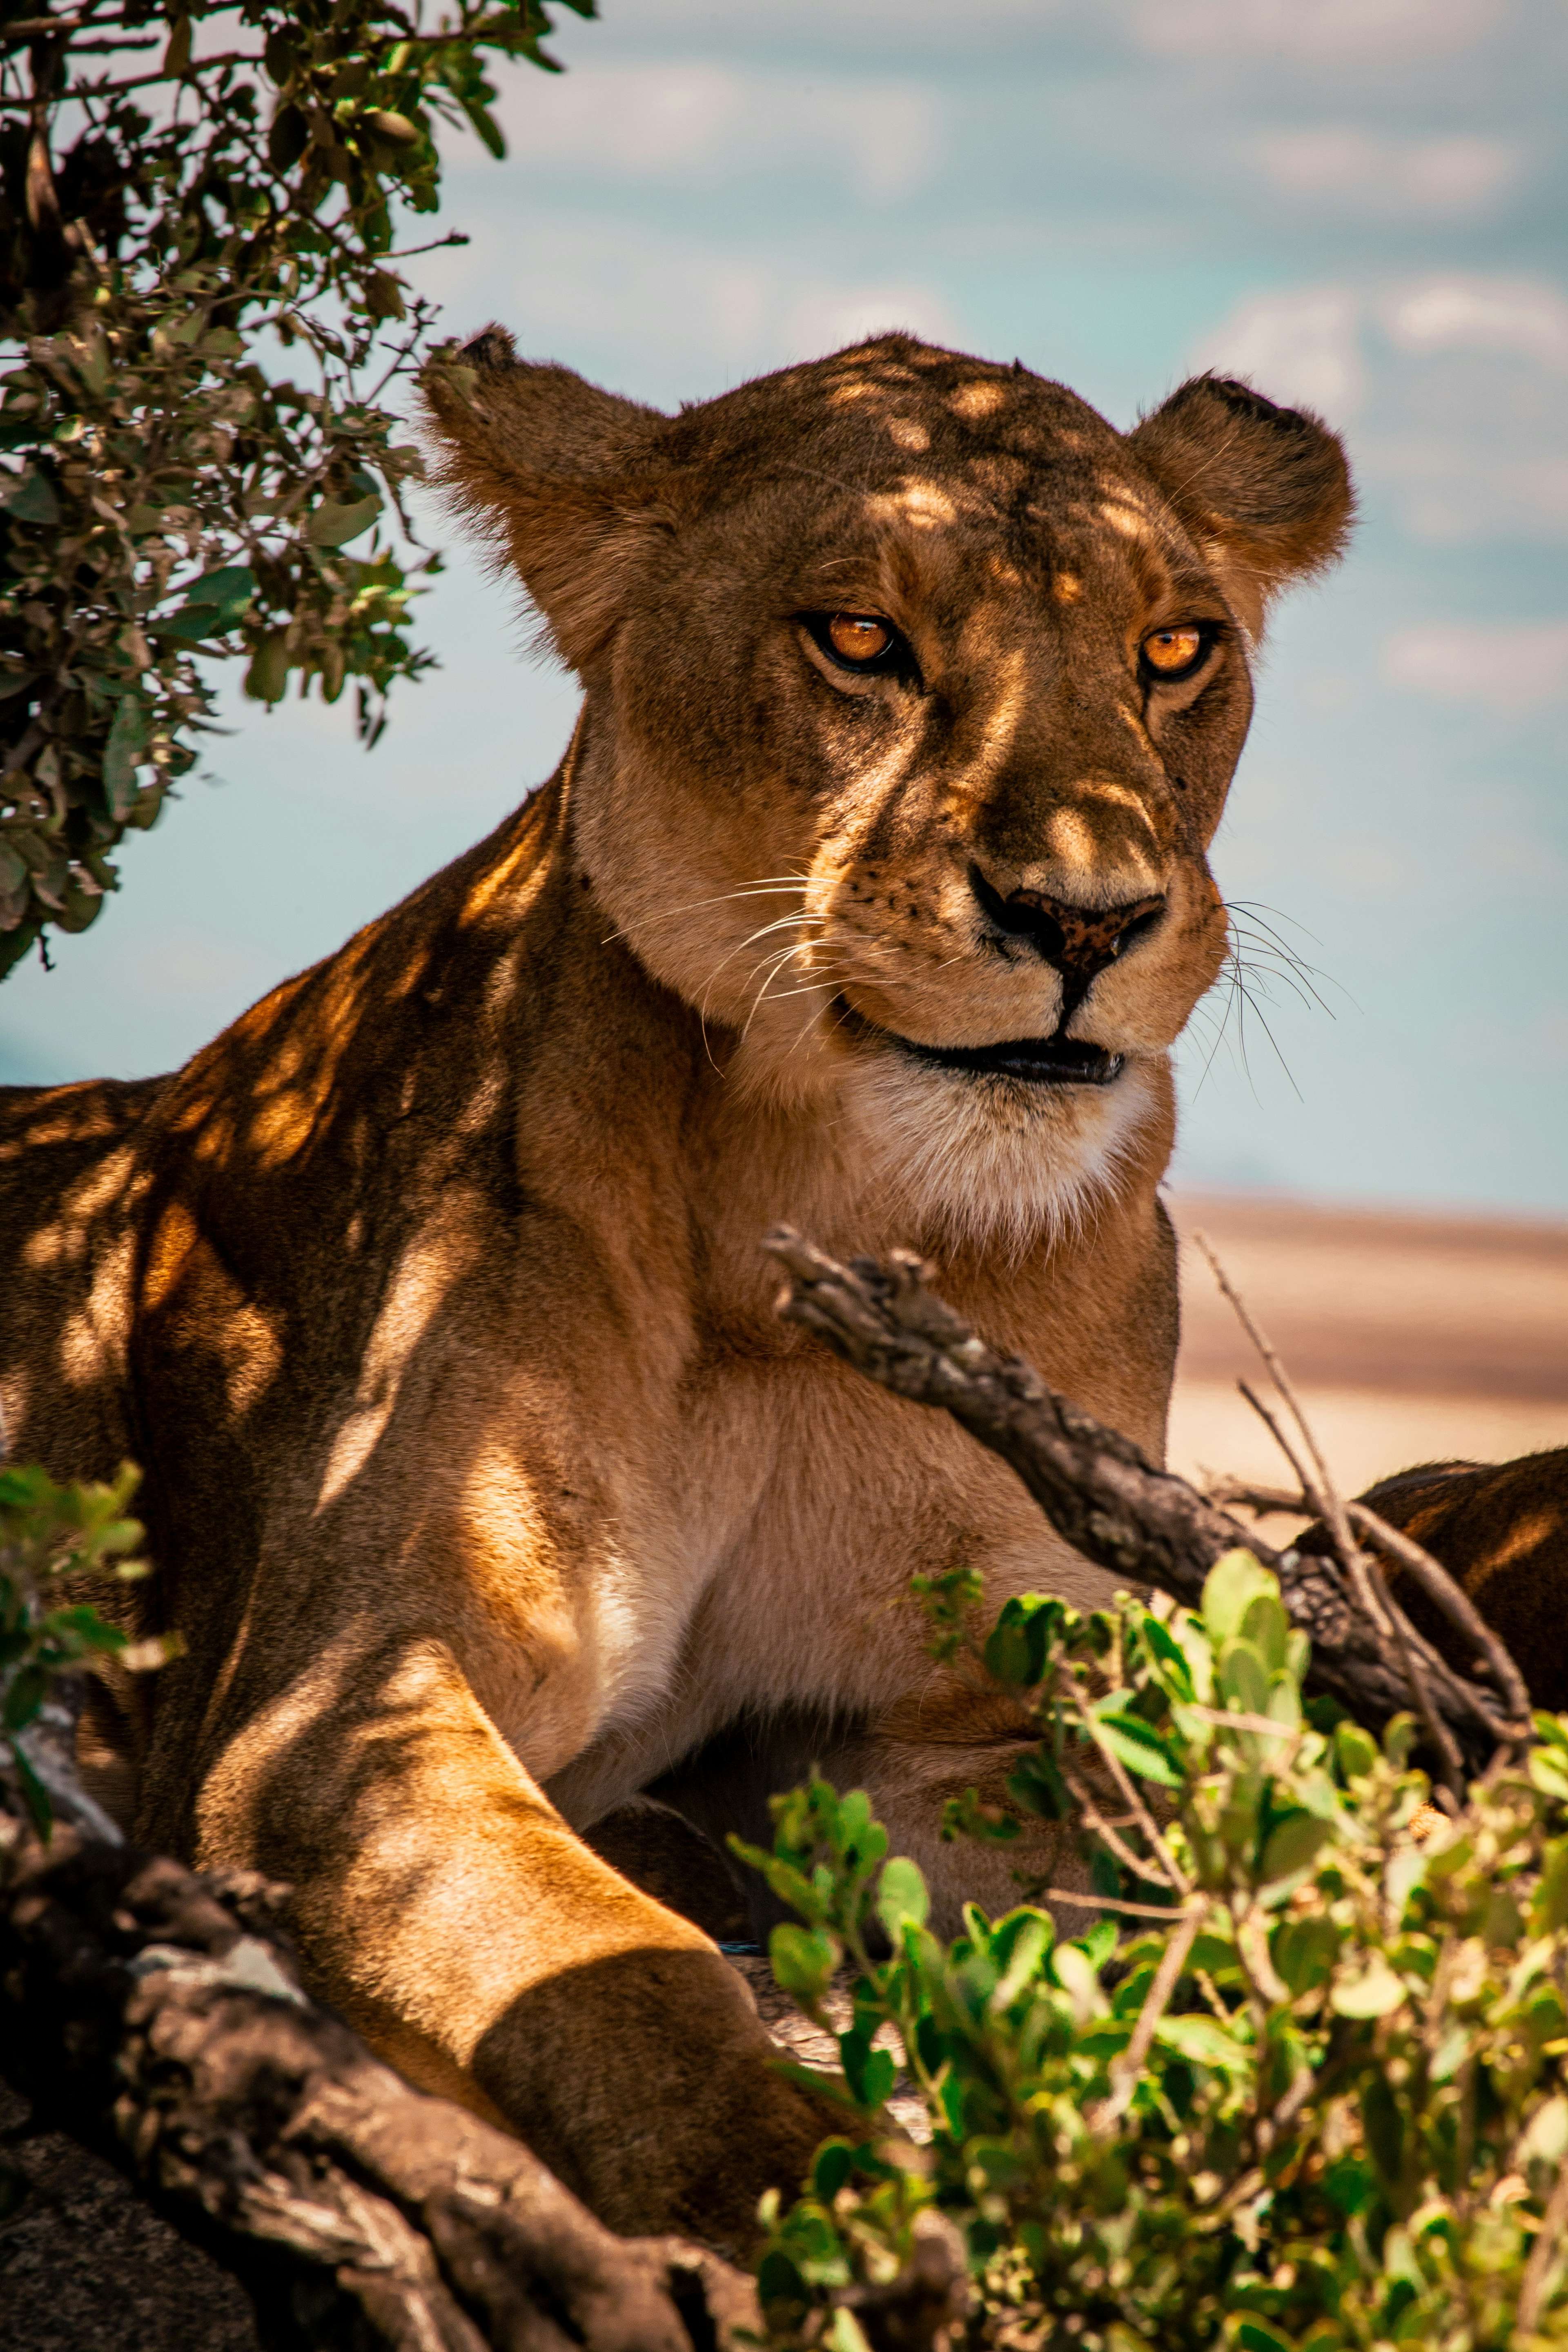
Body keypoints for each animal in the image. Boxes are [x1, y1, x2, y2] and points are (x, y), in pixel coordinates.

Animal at [0, 331, 1351, 2249]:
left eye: (1175, 651)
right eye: (859, 638)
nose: (1083, 922)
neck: (805, 1215)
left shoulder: (978, 1708)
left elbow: (1133, 1880)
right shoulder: (332, 1702)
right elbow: (609, 1960)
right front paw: (806, 2194)